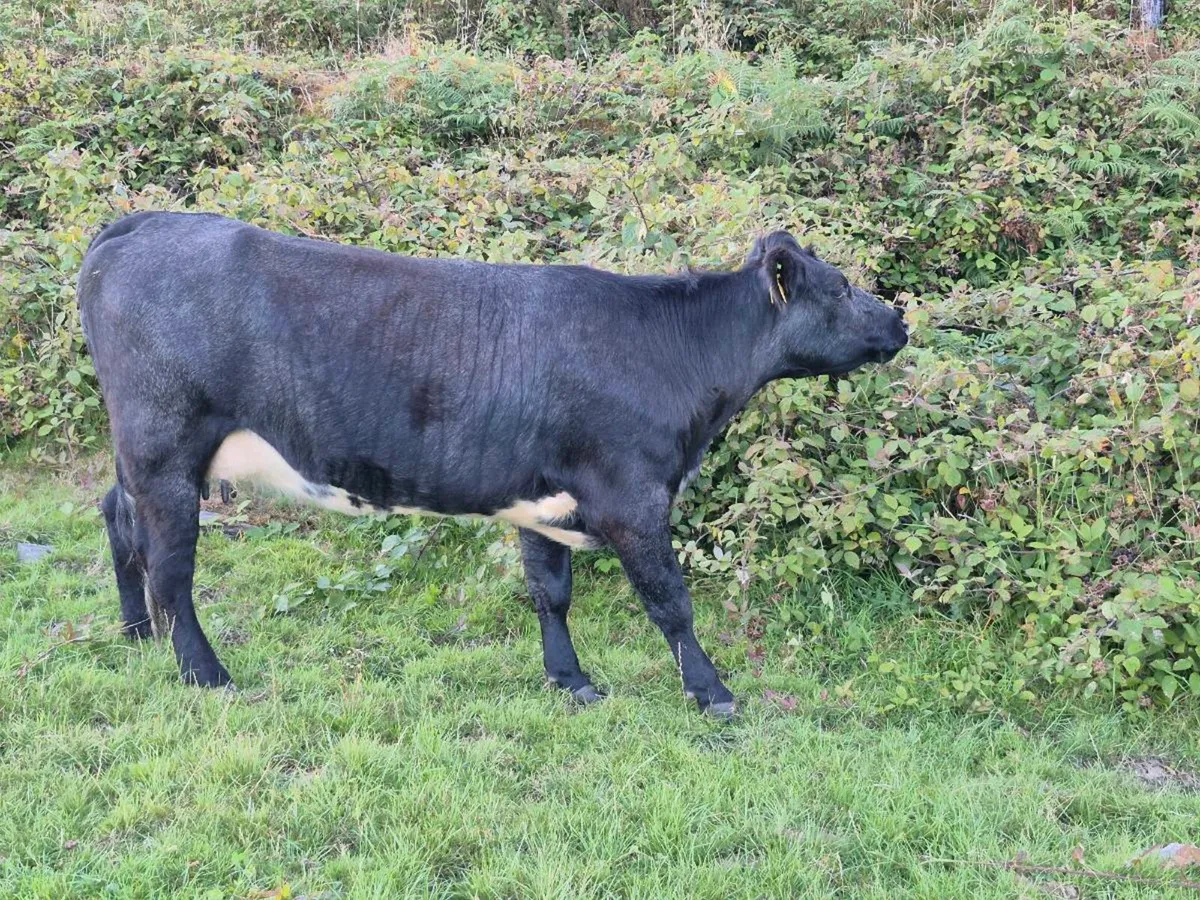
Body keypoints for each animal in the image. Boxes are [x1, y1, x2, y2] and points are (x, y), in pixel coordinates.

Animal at [78, 211, 907, 717]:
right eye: (840, 287)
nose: (900, 318)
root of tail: (144, 222)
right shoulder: (632, 497)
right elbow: (671, 603)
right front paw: (712, 692)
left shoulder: (543, 499)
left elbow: (550, 594)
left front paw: (570, 680)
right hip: (165, 449)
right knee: (171, 568)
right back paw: (204, 672)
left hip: (138, 453)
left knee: (118, 519)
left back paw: (134, 633)